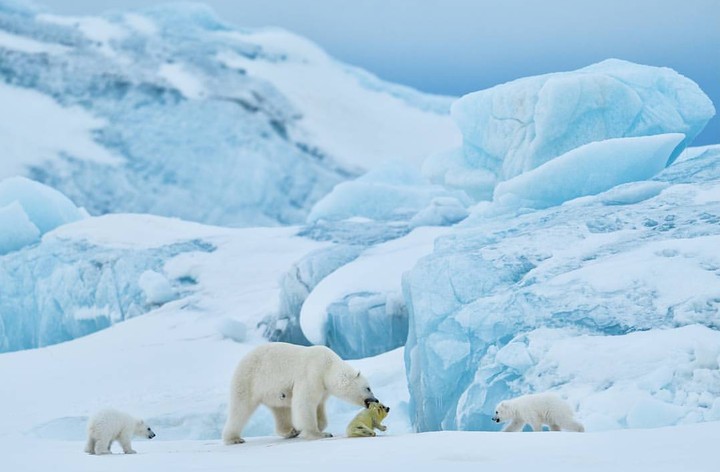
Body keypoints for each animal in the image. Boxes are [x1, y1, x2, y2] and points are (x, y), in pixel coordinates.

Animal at [222, 342, 379, 444]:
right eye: (368, 388)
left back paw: (290, 431)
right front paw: (319, 433)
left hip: (274, 392)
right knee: (240, 409)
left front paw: (318, 426)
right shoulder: (311, 374)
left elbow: (319, 406)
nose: (376, 400)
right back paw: (234, 438)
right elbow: (305, 402)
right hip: (248, 380)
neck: (327, 366)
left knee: (281, 410)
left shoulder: (322, 387)